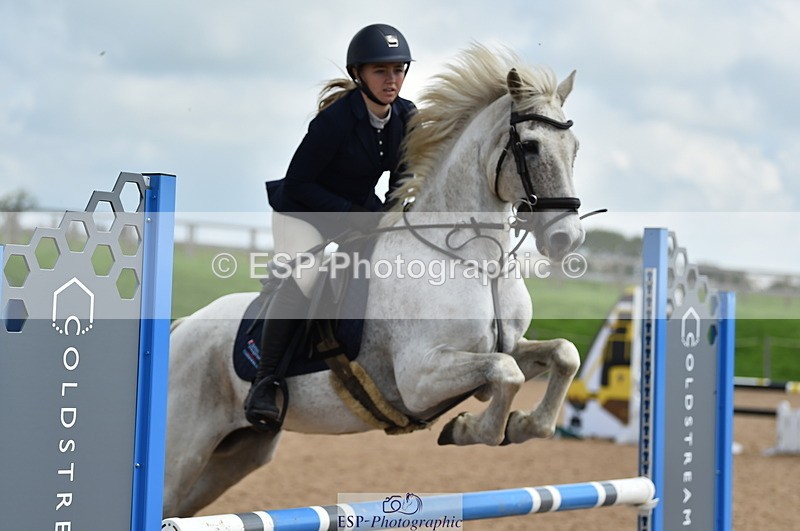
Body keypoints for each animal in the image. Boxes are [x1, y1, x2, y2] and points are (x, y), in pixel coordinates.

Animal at [164, 44, 586, 517]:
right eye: (529, 146)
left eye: (574, 147)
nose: (567, 239)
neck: (473, 260)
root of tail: (182, 328)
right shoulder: (420, 378)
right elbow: (506, 374)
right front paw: (467, 429)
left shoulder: (508, 345)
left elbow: (562, 355)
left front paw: (522, 425)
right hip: (183, 452)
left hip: (236, 455)